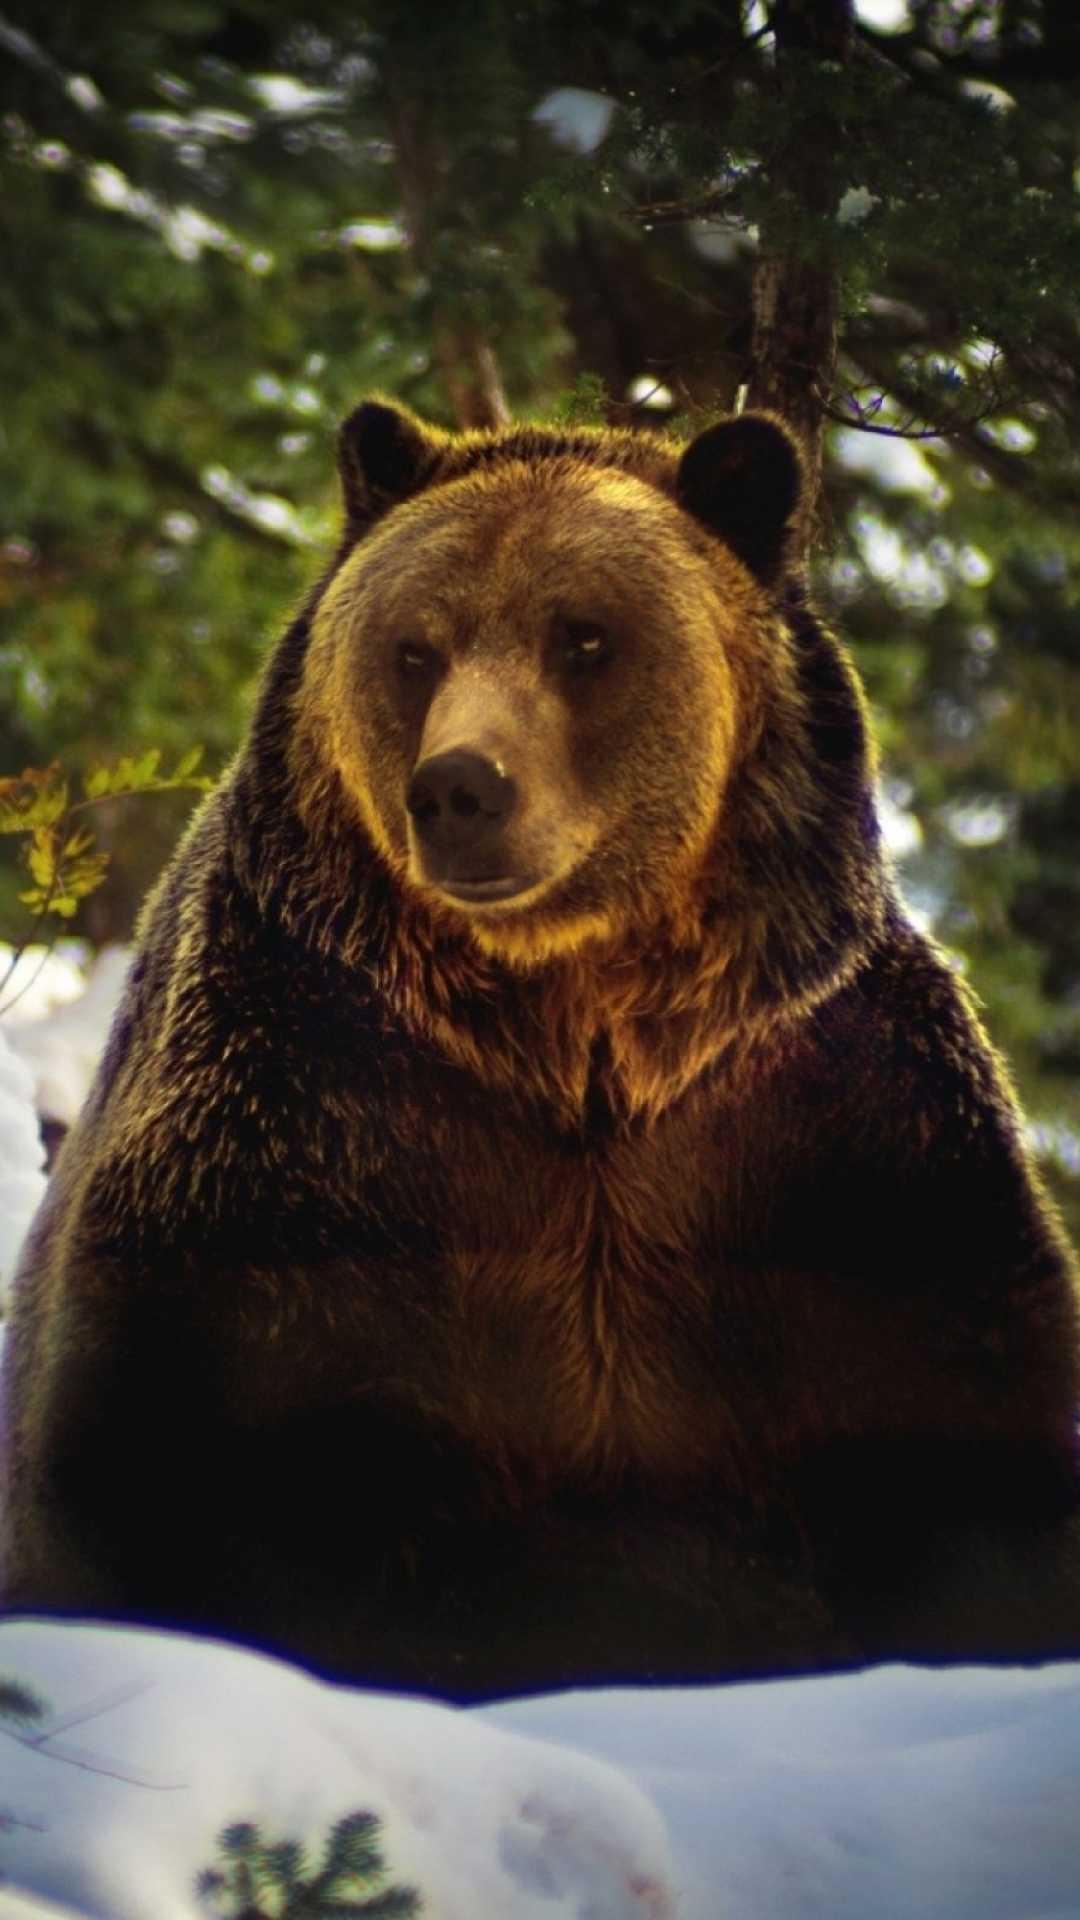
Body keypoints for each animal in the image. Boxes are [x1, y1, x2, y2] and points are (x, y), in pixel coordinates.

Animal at [2, 398, 1080, 1700]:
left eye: (585, 637)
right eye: (416, 648)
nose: (461, 788)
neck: (575, 1029)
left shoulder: (827, 1124)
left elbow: (966, 1439)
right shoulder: (300, 1110)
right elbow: (172, 1451)